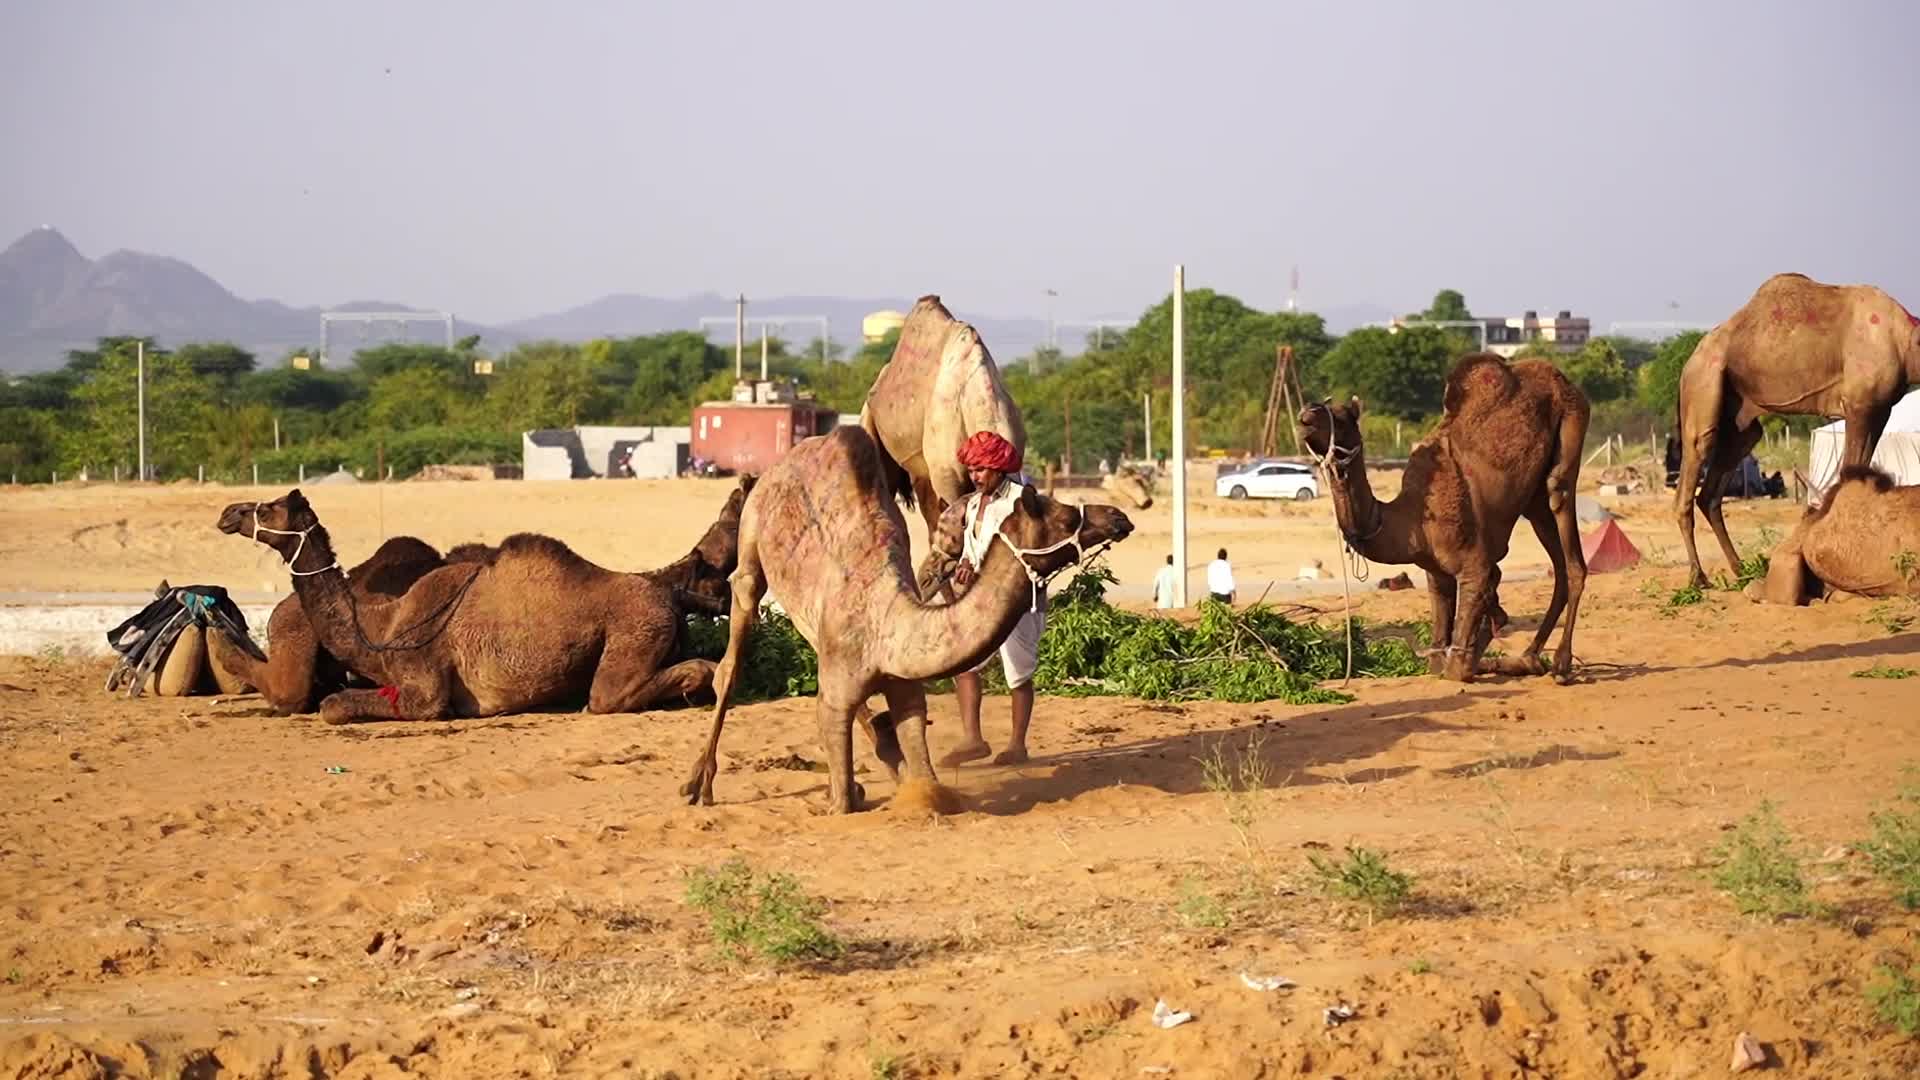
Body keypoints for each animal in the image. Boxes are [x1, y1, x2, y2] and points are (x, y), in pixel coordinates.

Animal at [208, 477, 756, 714]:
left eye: (269, 508)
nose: (229, 513)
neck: (380, 627)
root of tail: (667, 595)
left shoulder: (425, 687)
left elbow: (334, 706)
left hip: (635, 629)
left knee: (610, 696)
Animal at [678, 426, 1135, 813]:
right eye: (1063, 516)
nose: (1119, 517)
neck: (887, 631)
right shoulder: (837, 690)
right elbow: (841, 797)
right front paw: (846, 792)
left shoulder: (904, 687)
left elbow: (925, 775)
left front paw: (896, 772)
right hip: (752, 541)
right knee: (733, 650)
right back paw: (699, 784)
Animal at [1296, 353, 1590, 683]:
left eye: (1343, 418)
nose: (1306, 413)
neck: (1409, 521)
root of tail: (1564, 380)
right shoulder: (1435, 571)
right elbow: (1440, 649)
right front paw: (1470, 655)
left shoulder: (1473, 564)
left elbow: (1456, 665)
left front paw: (1469, 660)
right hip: (1533, 501)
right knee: (1557, 560)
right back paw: (1527, 659)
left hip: (1573, 420)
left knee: (1562, 507)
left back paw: (1561, 666)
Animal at [1675, 273, 1920, 586]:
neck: (1904, 338)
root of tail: (1690, 360)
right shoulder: (1859, 404)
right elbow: (1850, 469)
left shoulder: (1881, 408)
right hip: (1702, 381)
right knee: (1695, 457)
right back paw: (1698, 578)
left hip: (1741, 422)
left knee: (1711, 491)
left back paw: (1742, 570)